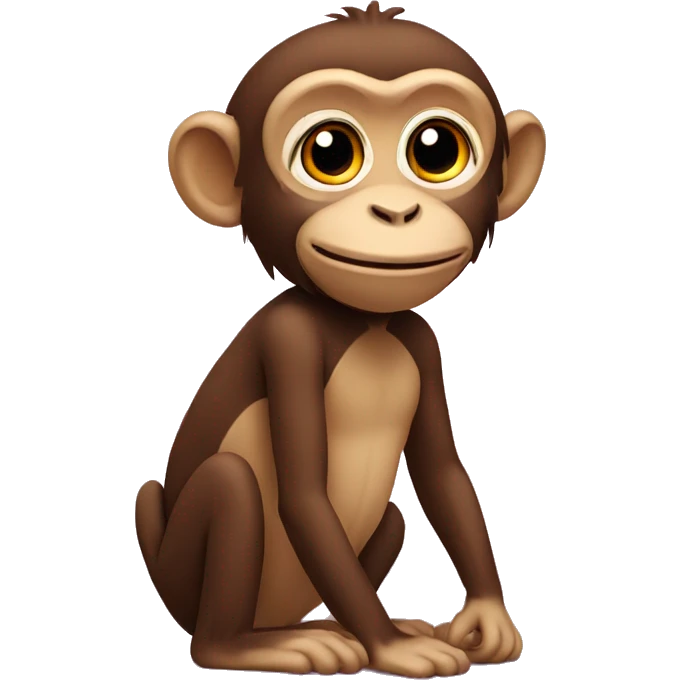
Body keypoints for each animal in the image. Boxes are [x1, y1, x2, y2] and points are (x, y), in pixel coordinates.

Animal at [142, 2, 545, 675]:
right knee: (231, 486)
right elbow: (305, 494)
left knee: (391, 517)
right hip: (186, 578)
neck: (361, 322)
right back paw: (257, 646)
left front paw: (486, 619)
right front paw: (394, 648)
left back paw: (329, 625)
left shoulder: (421, 342)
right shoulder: (290, 341)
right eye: (329, 153)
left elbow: (442, 472)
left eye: (437, 149)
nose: (396, 213)